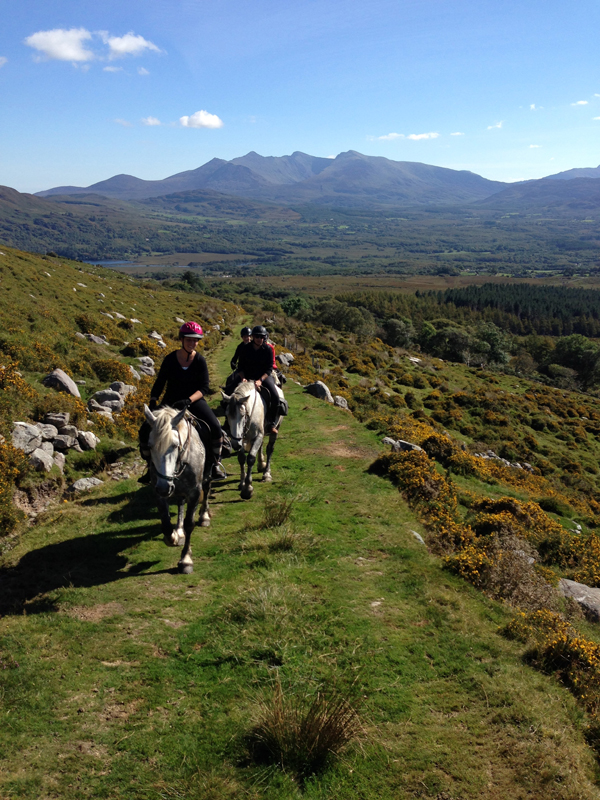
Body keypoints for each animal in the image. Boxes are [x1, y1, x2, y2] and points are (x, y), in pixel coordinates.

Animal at [143, 406, 211, 576]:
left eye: (174, 445)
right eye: (149, 446)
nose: (164, 487)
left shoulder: (194, 492)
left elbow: (189, 524)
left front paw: (186, 560)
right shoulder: (159, 493)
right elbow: (166, 524)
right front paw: (173, 537)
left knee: (207, 490)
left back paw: (204, 516)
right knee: (180, 502)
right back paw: (178, 531)